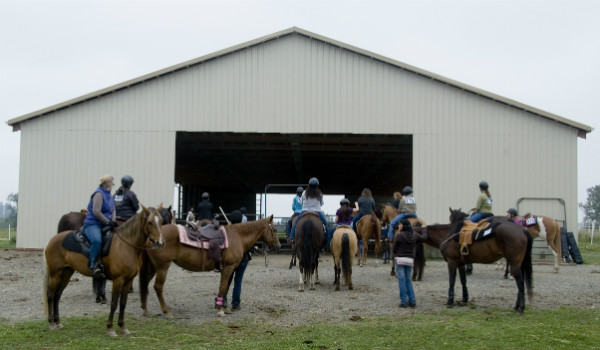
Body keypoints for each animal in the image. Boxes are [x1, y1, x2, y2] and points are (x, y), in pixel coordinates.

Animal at [43, 205, 164, 336]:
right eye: (150, 222)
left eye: (161, 221)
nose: (160, 243)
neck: (125, 245)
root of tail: (52, 240)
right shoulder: (118, 280)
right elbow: (114, 303)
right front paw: (110, 328)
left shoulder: (128, 280)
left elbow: (123, 303)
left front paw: (123, 327)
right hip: (55, 273)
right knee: (50, 295)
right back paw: (51, 324)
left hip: (66, 272)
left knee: (57, 295)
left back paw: (58, 322)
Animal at [138, 215, 278, 318]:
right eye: (275, 229)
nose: (278, 245)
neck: (237, 236)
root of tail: (152, 237)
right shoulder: (228, 267)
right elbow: (223, 286)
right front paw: (220, 310)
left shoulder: (228, 268)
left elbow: (226, 287)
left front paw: (224, 307)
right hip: (162, 266)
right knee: (158, 287)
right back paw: (166, 311)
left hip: (152, 266)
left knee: (145, 283)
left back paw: (145, 310)